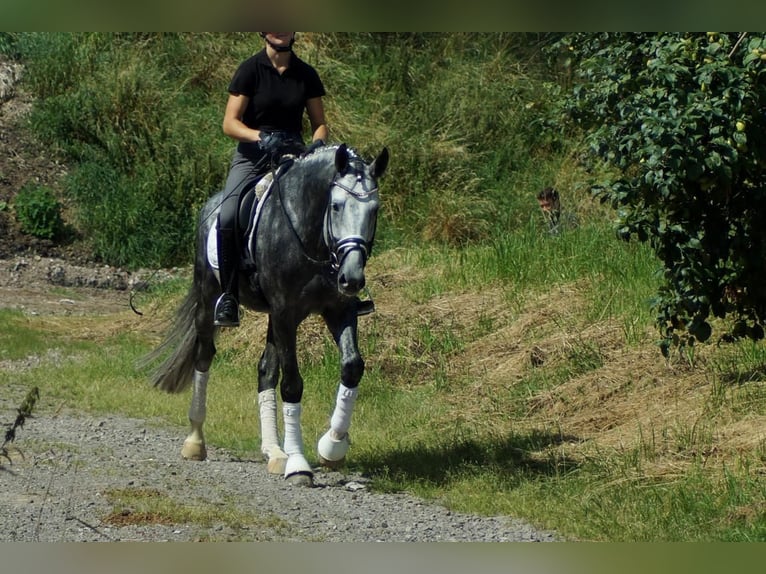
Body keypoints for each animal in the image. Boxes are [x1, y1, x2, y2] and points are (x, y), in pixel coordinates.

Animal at [146, 143, 390, 486]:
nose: (352, 279)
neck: (310, 235)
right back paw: (195, 441)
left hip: (275, 318)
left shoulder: (337, 309)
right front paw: (299, 465)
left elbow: (351, 366)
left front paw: (332, 446)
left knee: (265, 371)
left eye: (375, 210)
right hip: (210, 301)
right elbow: (292, 385)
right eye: (337, 206)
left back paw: (275, 452)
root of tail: (209, 206)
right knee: (204, 357)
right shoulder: (286, 312)